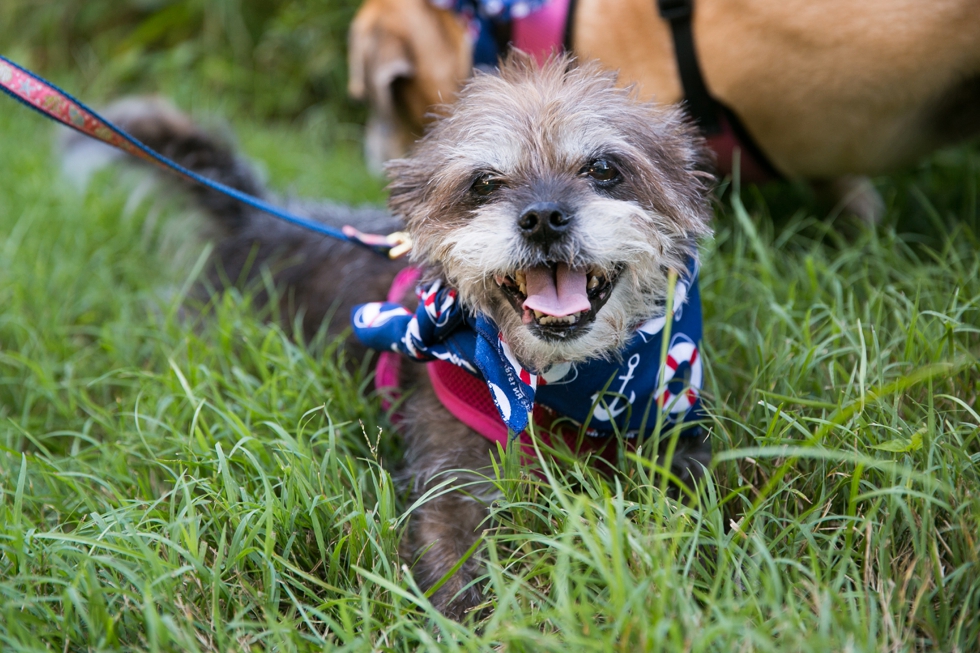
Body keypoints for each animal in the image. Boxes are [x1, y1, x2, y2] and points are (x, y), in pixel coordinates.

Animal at [71, 54, 712, 616]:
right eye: (484, 183)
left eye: (604, 169)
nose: (542, 218)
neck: (561, 386)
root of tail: (253, 218)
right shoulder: (447, 490)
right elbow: (457, 580)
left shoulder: (677, 443)